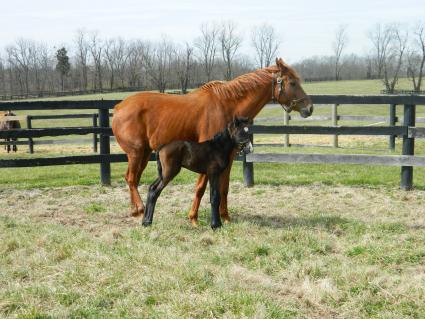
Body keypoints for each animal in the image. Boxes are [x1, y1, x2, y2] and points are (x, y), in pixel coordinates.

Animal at [111, 57, 314, 225]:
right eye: (292, 82)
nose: (309, 108)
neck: (227, 104)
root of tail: (119, 106)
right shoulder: (207, 162)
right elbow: (201, 188)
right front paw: (194, 218)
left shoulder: (229, 159)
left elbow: (224, 188)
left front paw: (225, 217)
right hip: (136, 153)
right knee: (132, 179)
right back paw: (140, 210)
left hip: (145, 154)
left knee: (133, 179)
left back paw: (136, 211)